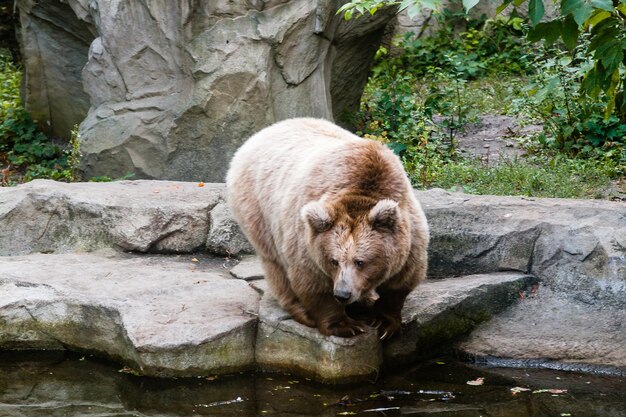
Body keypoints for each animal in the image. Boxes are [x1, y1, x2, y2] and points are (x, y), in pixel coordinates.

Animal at [225, 117, 428, 338]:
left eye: (360, 262)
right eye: (334, 261)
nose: (343, 294)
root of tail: (261, 133)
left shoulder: (409, 230)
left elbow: (402, 279)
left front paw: (384, 322)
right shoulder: (306, 237)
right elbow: (313, 280)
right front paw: (345, 325)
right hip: (259, 211)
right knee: (275, 264)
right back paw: (301, 309)